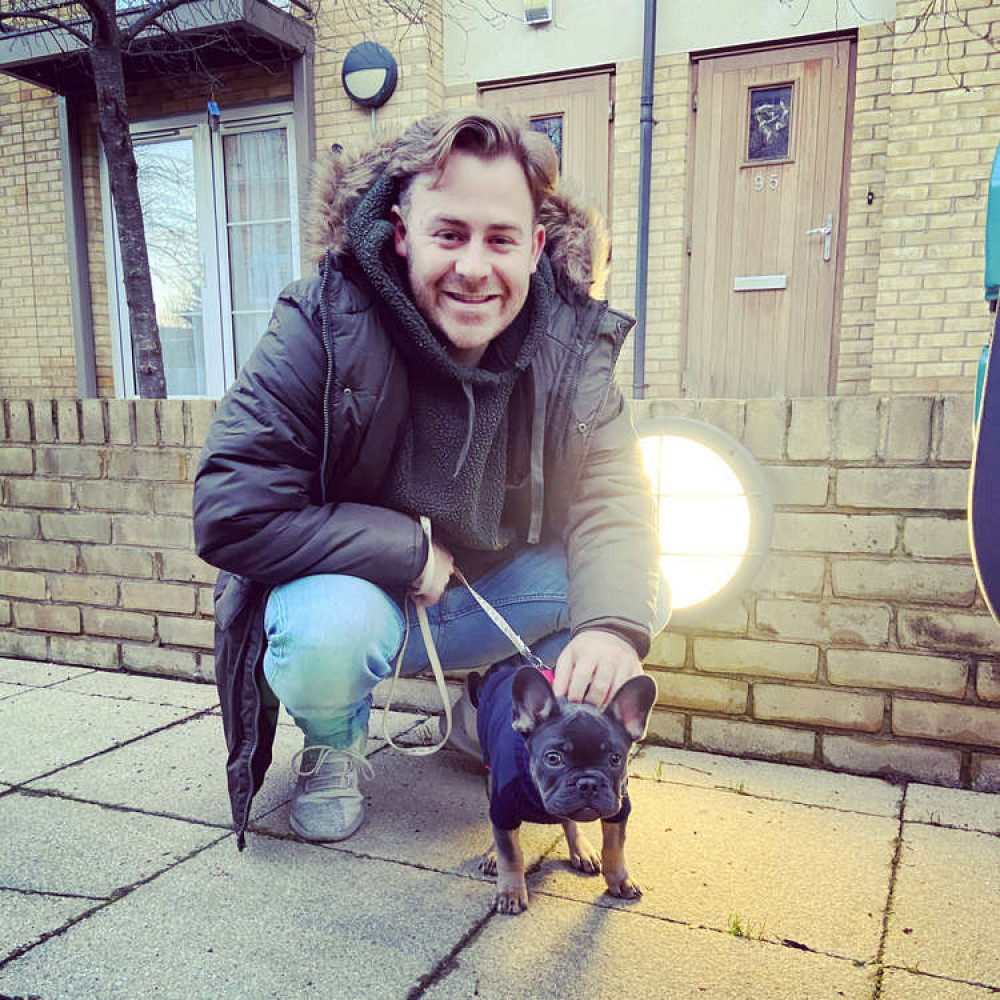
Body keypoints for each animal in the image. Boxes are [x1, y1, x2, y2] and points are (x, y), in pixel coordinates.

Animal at [472, 664, 660, 916]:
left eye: (615, 759)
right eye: (553, 758)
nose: (588, 782)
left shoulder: (619, 809)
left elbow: (614, 847)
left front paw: (620, 880)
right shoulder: (504, 809)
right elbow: (510, 853)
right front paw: (511, 892)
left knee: (569, 820)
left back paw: (581, 849)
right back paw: (494, 854)